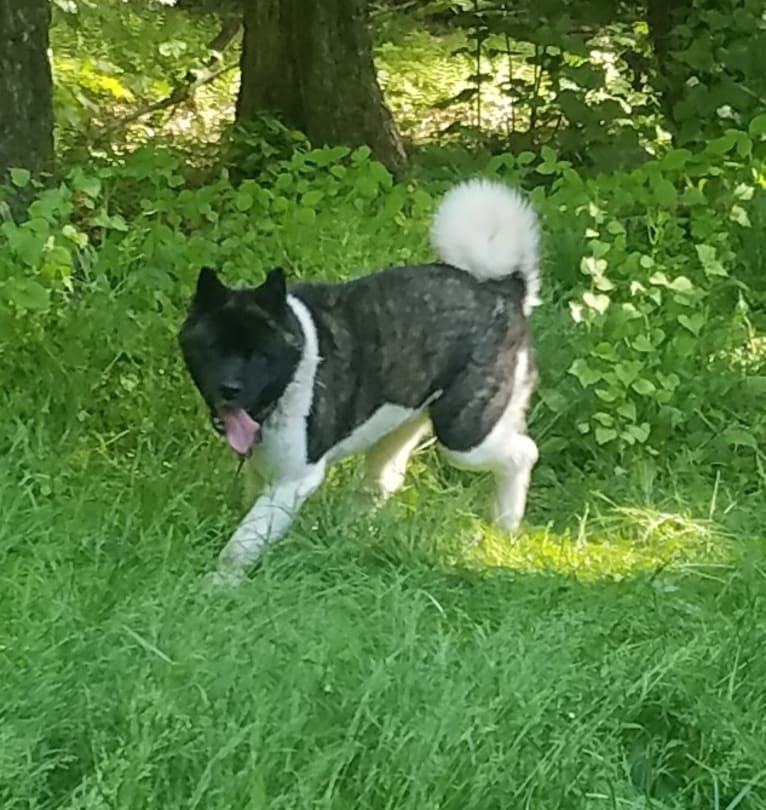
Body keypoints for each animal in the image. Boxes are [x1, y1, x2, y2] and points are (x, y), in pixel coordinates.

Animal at [179, 178, 540, 580]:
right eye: (213, 349)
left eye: (259, 354)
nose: (229, 389)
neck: (292, 370)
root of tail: (504, 290)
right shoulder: (264, 474)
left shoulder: (294, 481)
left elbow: (245, 538)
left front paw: (219, 581)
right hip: (399, 427)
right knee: (383, 480)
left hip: (464, 434)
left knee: (523, 453)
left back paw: (505, 525)